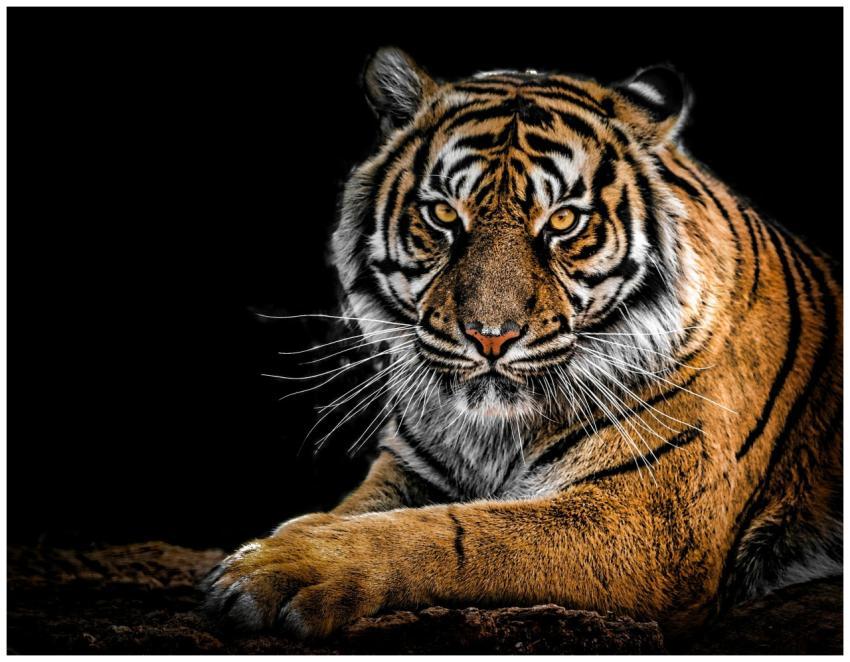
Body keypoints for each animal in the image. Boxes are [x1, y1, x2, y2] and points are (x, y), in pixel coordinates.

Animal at [203, 48, 842, 640]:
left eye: (562, 221)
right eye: (443, 215)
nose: (491, 337)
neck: (492, 433)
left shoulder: (651, 520)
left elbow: (456, 533)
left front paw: (282, 568)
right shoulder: (409, 467)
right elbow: (356, 511)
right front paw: (279, 543)